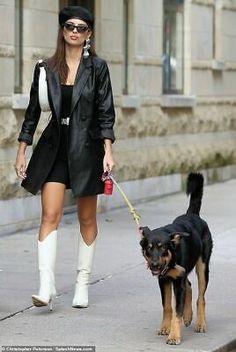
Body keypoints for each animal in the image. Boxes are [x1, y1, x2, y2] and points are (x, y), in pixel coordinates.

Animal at [139, 172, 213, 346]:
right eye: (149, 248)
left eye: (163, 248)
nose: (154, 265)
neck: (171, 259)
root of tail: (193, 214)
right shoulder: (165, 280)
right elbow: (167, 307)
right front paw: (165, 327)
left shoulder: (178, 282)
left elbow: (176, 312)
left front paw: (174, 336)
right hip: (183, 272)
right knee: (190, 286)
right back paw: (188, 315)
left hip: (202, 267)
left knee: (201, 297)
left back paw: (200, 323)